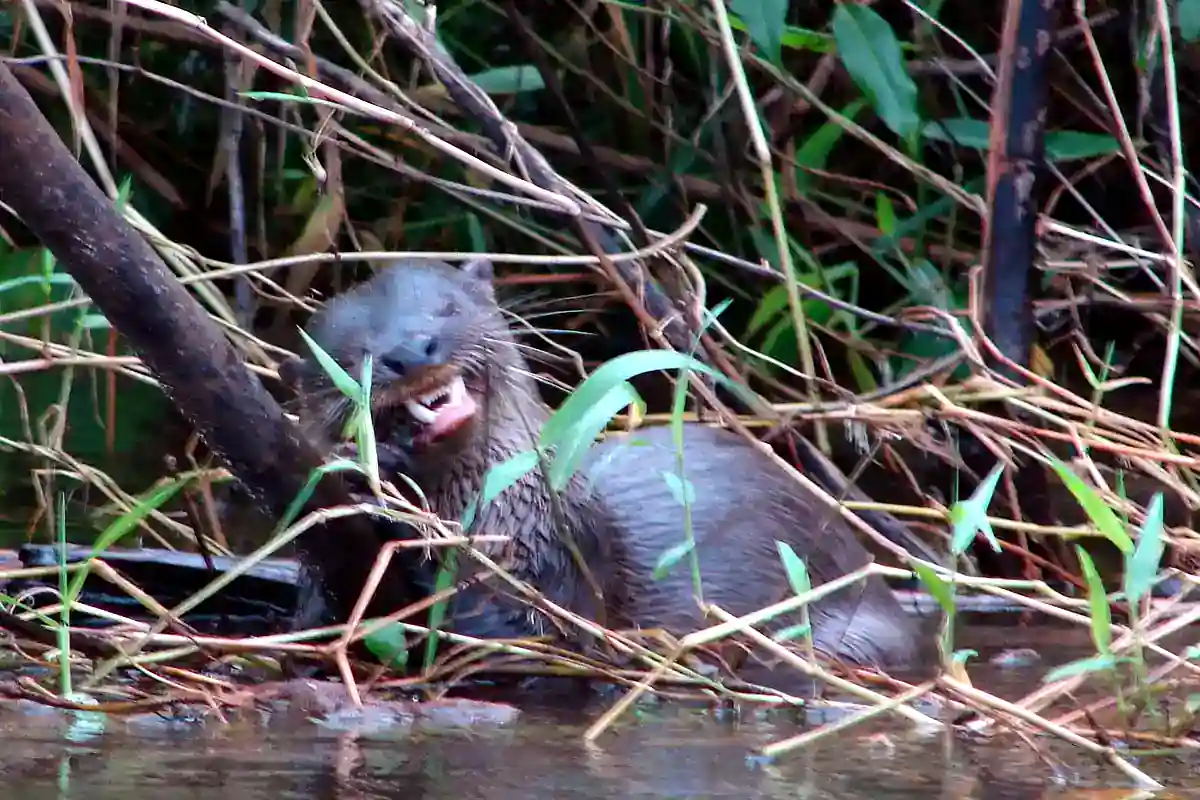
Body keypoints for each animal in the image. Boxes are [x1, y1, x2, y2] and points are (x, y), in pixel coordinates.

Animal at [289, 258, 922, 675]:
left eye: (449, 307)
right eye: (353, 350)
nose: (412, 350)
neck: (510, 514)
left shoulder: (556, 576)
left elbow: (525, 631)